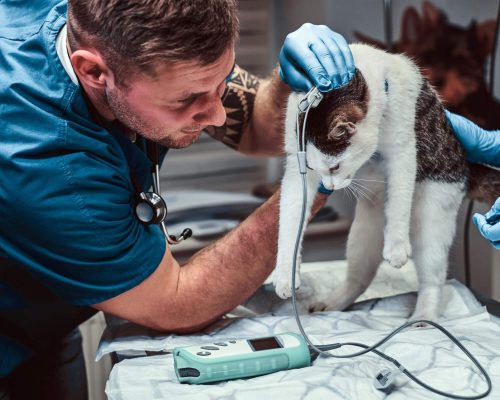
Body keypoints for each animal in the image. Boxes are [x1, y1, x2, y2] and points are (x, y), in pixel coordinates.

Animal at [274, 43, 500, 322]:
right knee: (358, 278)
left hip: (433, 212)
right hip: (363, 233)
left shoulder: (402, 152)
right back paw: (333, 302)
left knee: (433, 278)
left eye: (335, 167)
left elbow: (399, 201)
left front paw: (397, 247)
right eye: (312, 169)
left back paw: (424, 315)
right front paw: (285, 275)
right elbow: (290, 219)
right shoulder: (296, 171)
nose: (331, 186)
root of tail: (465, 164)